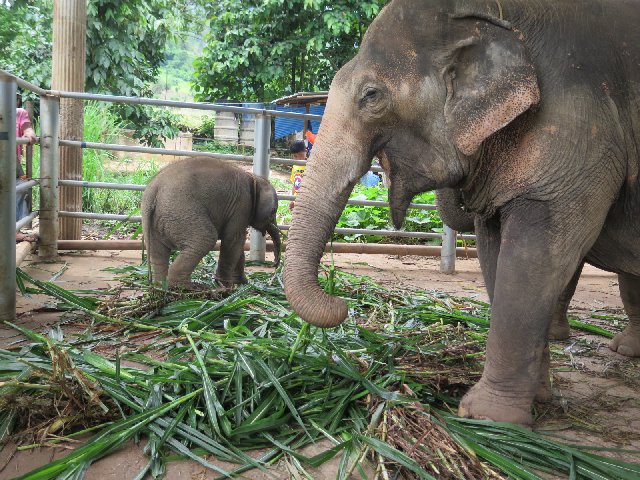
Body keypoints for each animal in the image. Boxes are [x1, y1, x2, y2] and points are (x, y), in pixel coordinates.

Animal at [142, 158, 282, 286]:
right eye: (274, 211)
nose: (275, 264)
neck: (253, 178)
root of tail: (154, 188)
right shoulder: (241, 205)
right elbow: (233, 241)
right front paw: (226, 286)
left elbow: (237, 246)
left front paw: (243, 283)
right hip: (181, 211)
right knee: (205, 239)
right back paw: (187, 289)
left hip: (155, 221)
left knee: (157, 253)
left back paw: (161, 288)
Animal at [284, 0, 640, 428]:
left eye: (371, 95)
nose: (341, 302)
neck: (489, 15)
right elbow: (493, 253)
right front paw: (538, 402)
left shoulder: (578, 129)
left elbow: (536, 256)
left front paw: (486, 418)